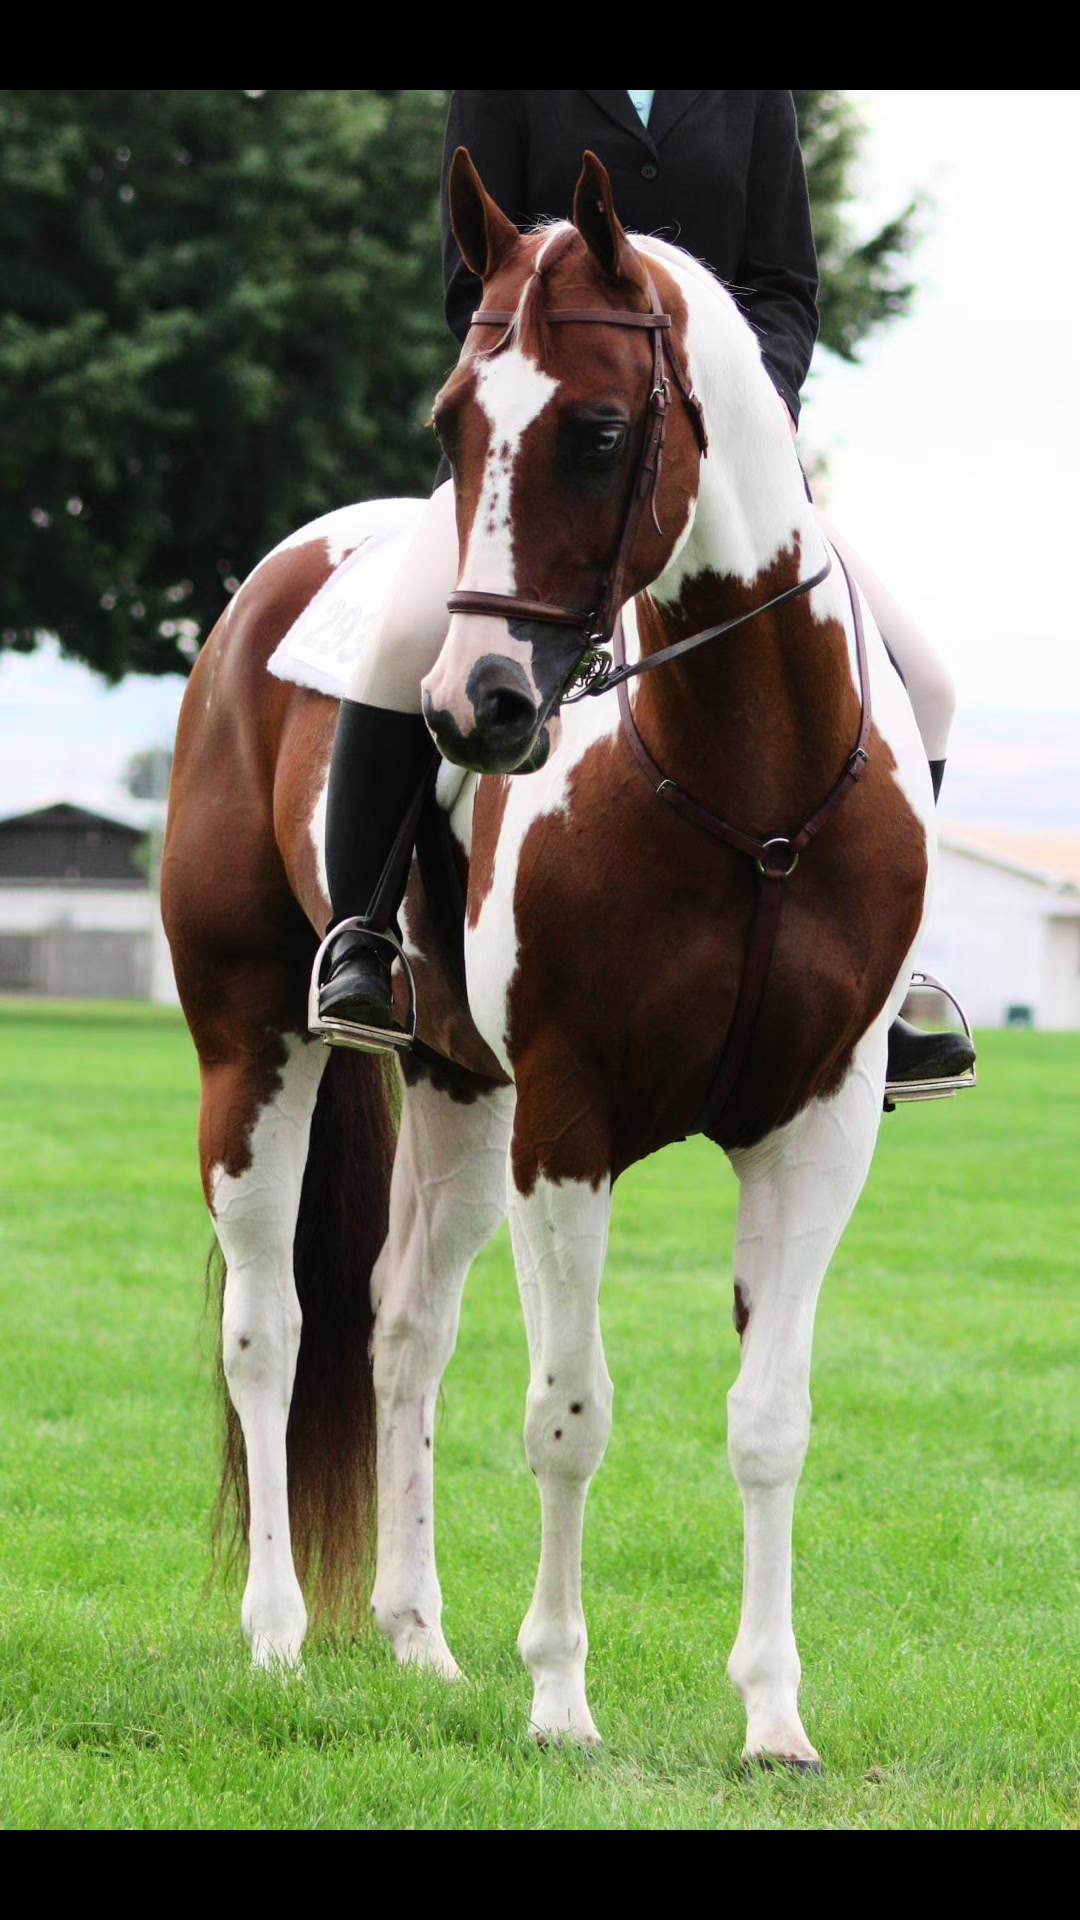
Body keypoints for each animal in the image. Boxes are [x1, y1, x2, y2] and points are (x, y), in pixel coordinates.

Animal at [161, 149, 931, 1769]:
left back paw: (420, 1641)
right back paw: (277, 1640)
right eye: (454, 420)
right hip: (253, 1045)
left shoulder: (818, 1128)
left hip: (463, 1093)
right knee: (272, 1330)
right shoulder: (572, 1127)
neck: (747, 788)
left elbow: (771, 1420)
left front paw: (775, 1719)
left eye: (598, 429)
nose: (478, 709)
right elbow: (569, 1412)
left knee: (401, 1324)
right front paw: (563, 1701)